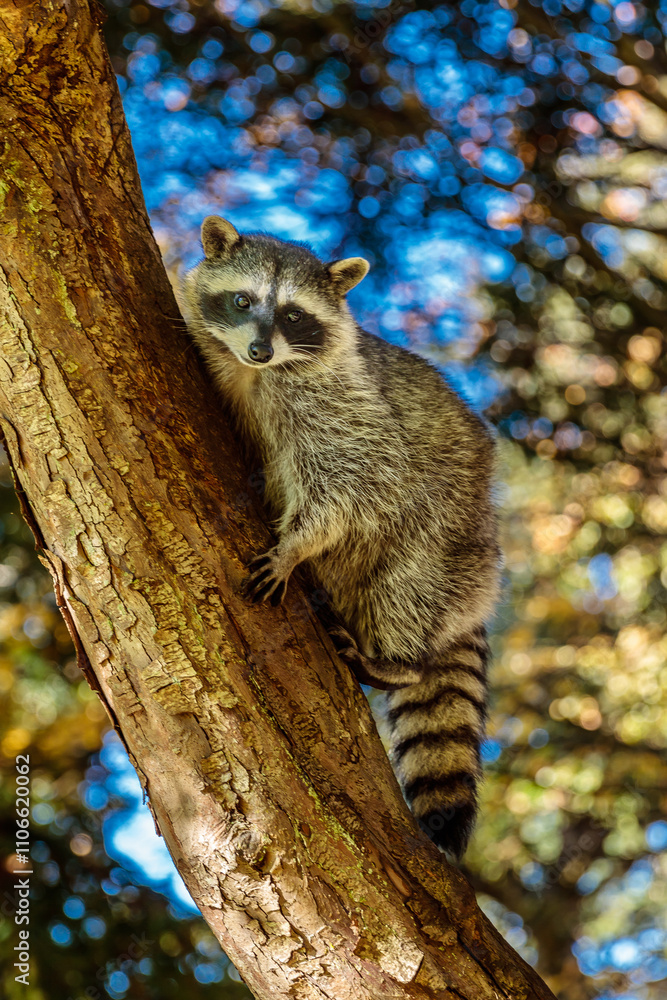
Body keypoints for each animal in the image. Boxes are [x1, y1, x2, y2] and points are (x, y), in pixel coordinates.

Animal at [182, 216, 500, 857]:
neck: (257, 373)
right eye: (242, 301)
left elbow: (355, 485)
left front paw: (295, 546)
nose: (259, 349)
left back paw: (397, 660)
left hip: (451, 532)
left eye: (294, 315)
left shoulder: (347, 408)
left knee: (409, 582)